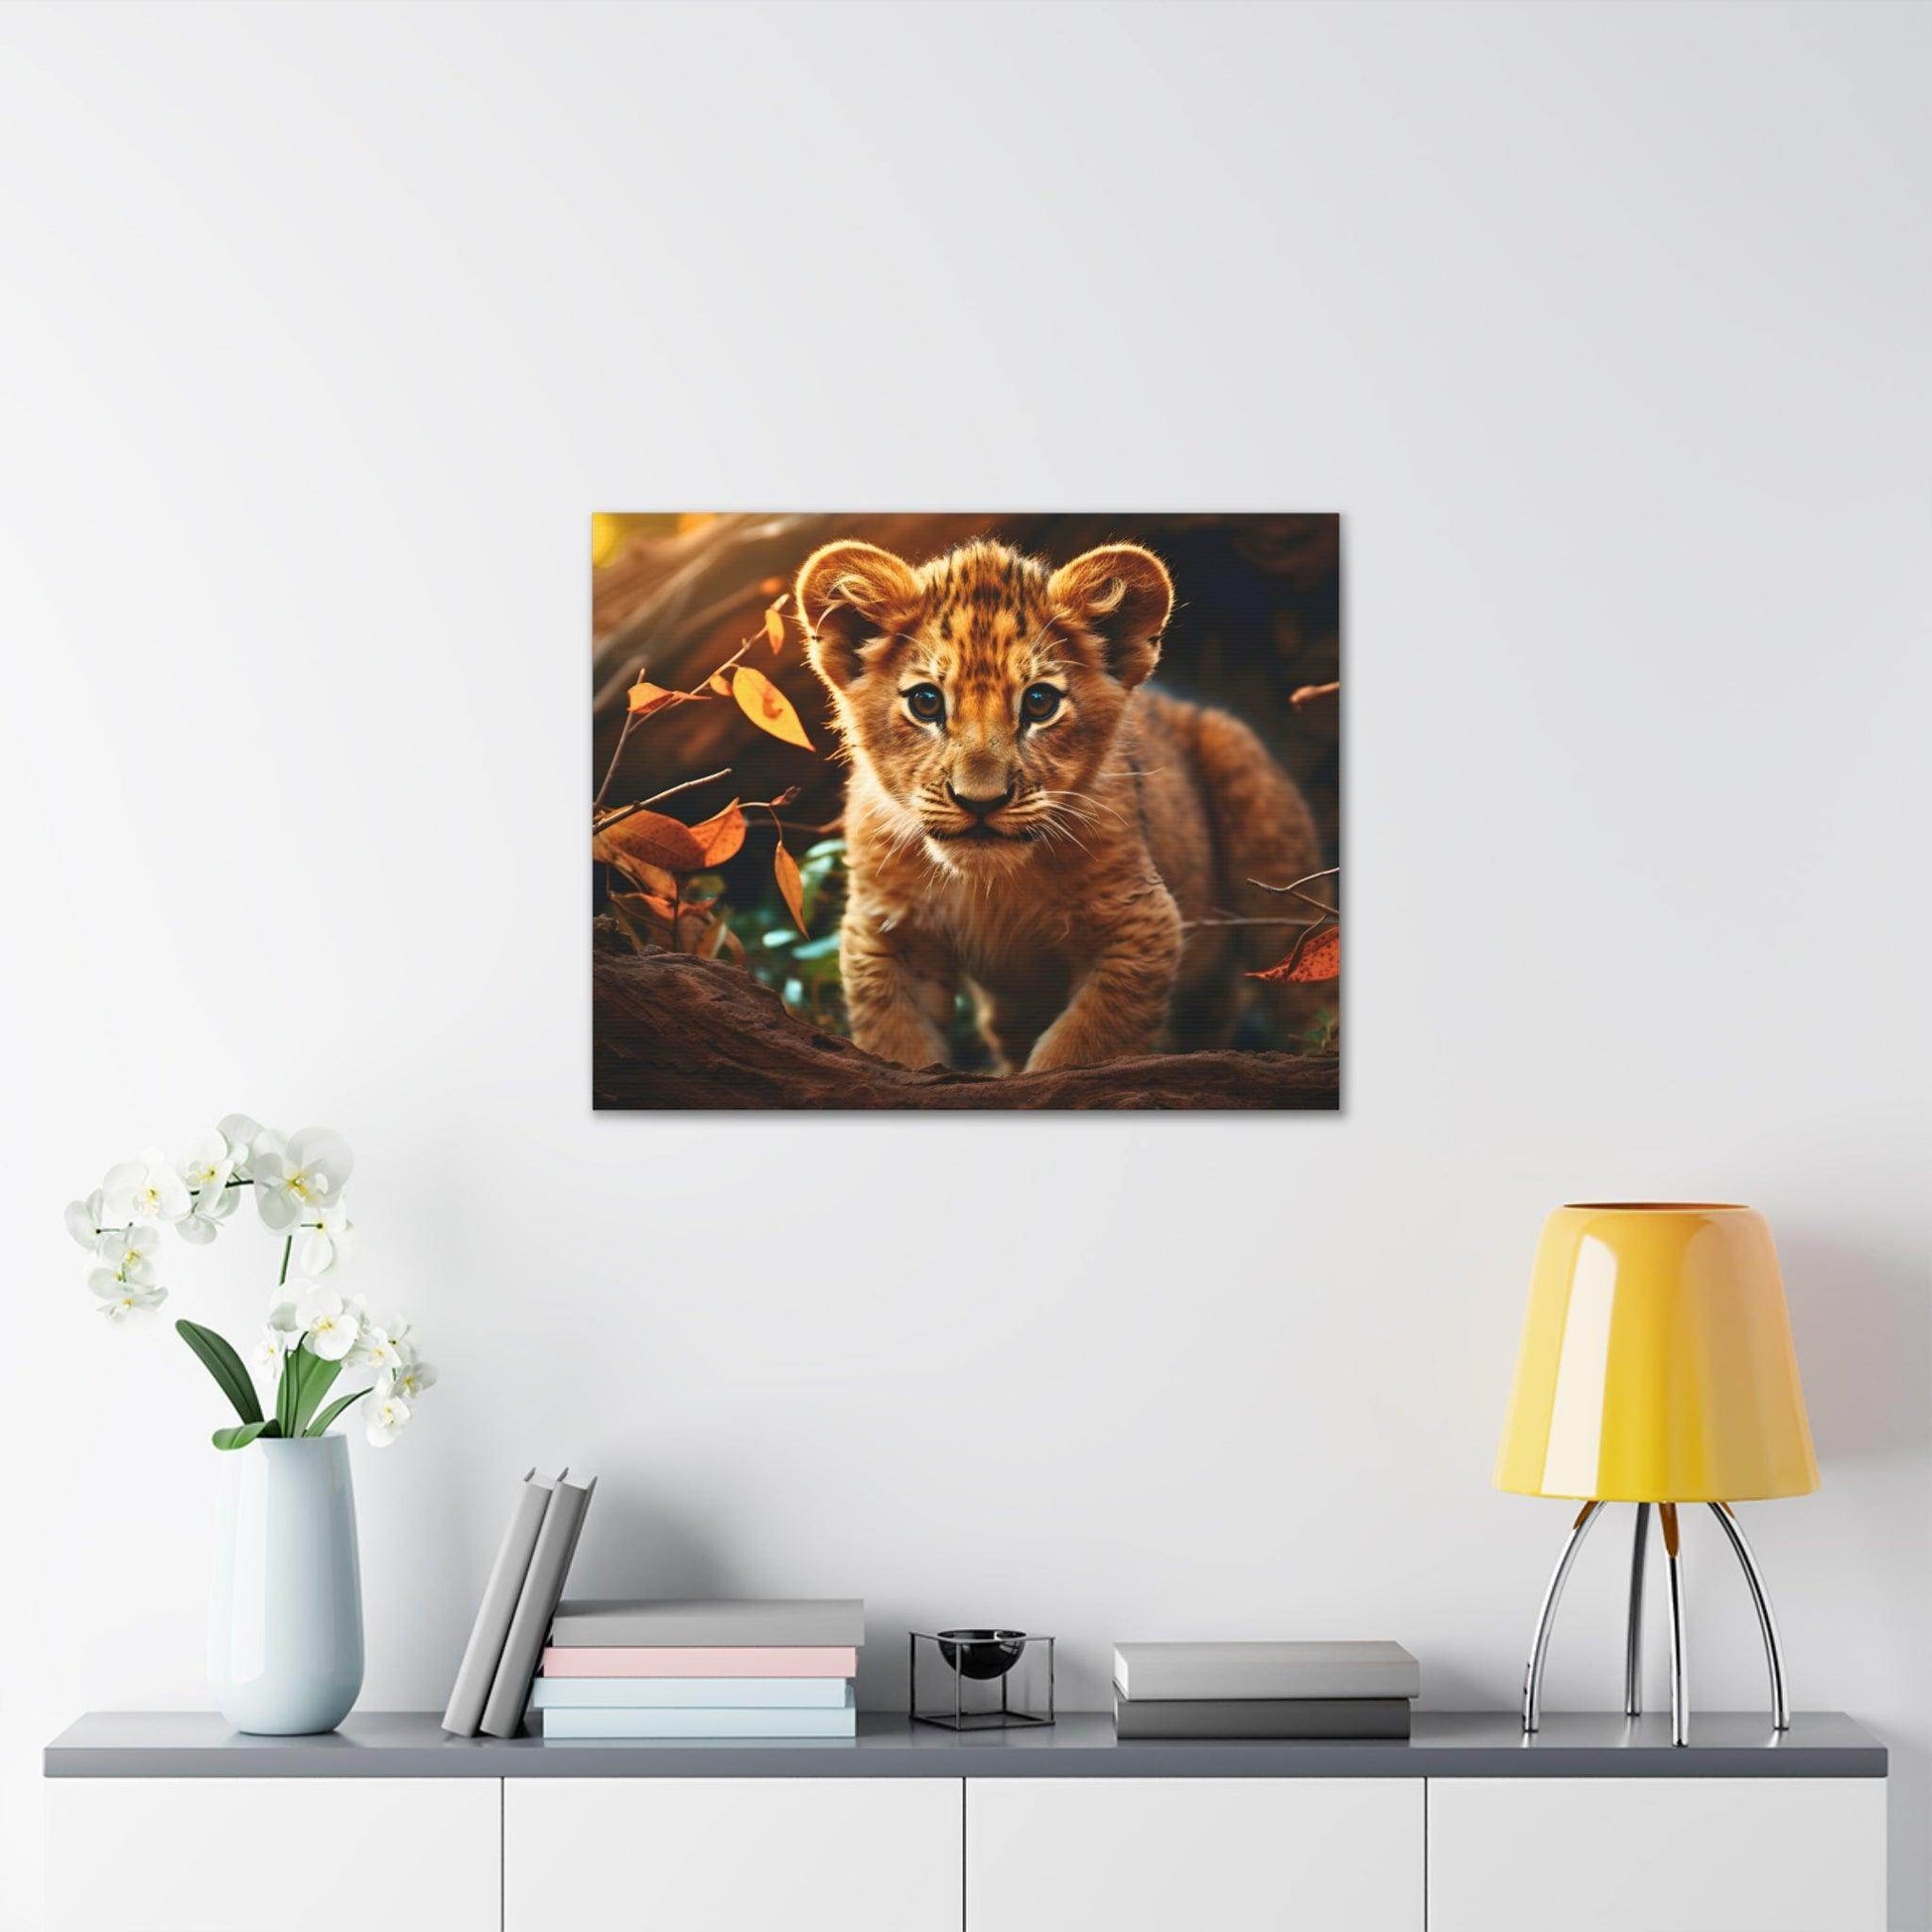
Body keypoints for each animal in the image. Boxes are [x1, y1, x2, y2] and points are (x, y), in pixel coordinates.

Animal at [796, 536, 1325, 1073]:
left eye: (1039, 703)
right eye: (926, 703)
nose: (980, 801)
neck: (991, 886)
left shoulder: (1140, 921)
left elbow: (1080, 1044)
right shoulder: (886, 933)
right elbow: (897, 1041)